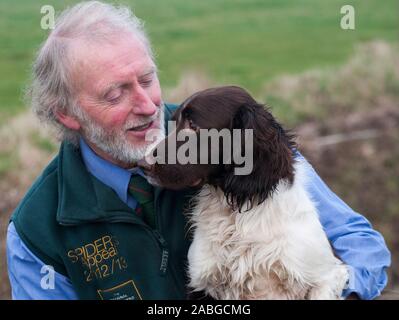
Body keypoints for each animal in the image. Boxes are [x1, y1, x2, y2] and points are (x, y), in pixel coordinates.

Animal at [141, 85, 350, 300]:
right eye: (174, 123)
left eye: (193, 125)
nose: (143, 164)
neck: (236, 215)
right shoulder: (202, 283)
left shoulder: (329, 273)